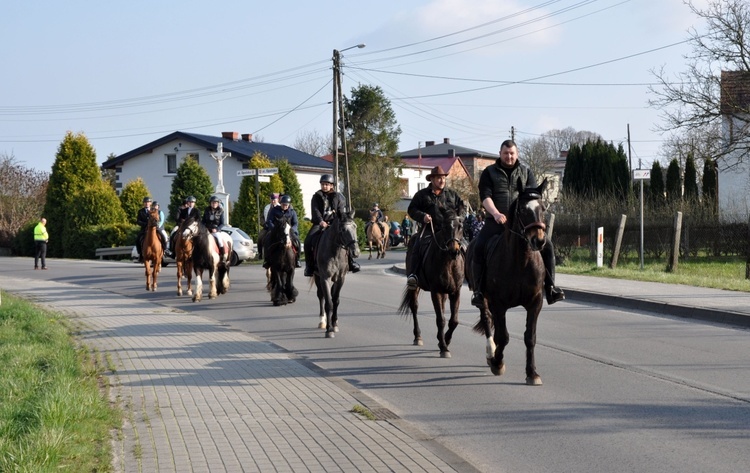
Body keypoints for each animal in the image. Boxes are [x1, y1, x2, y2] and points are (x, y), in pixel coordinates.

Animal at [396, 205, 468, 356]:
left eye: (460, 226)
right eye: (445, 226)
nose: (454, 251)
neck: (449, 262)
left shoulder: (455, 292)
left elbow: (454, 321)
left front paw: (445, 340)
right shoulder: (435, 291)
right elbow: (440, 319)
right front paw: (444, 347)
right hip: (415, 286)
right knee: (414, 307)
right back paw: (418, 336)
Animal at [470, 177, 552, 384]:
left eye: (543, 208)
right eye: (522, 209)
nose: (539, 241)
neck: (521, 261)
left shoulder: (535, 303)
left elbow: (530, 337)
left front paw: (532, 373)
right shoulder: (499, 304)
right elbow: (504, 336)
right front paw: (497, 363)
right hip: (483, 298)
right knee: (487, 321)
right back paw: (491, 353)